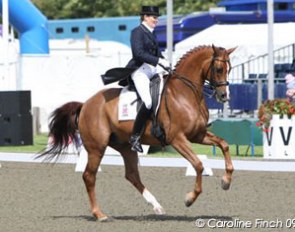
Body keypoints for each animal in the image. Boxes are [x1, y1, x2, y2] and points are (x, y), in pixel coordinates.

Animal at [40, 44, 237, 221]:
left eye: (230, 69)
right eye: (219, 69)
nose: (224, 96)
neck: (184, 93)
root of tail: (85, 104)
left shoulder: (197, 135)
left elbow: (224, 145)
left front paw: (226, 182)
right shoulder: (177, 139)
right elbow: (198, 164)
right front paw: (190, 198)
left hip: (125, 146)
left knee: (132, 175)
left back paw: (157, 206)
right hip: (97, 147)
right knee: (89, 176)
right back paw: (99, 214)